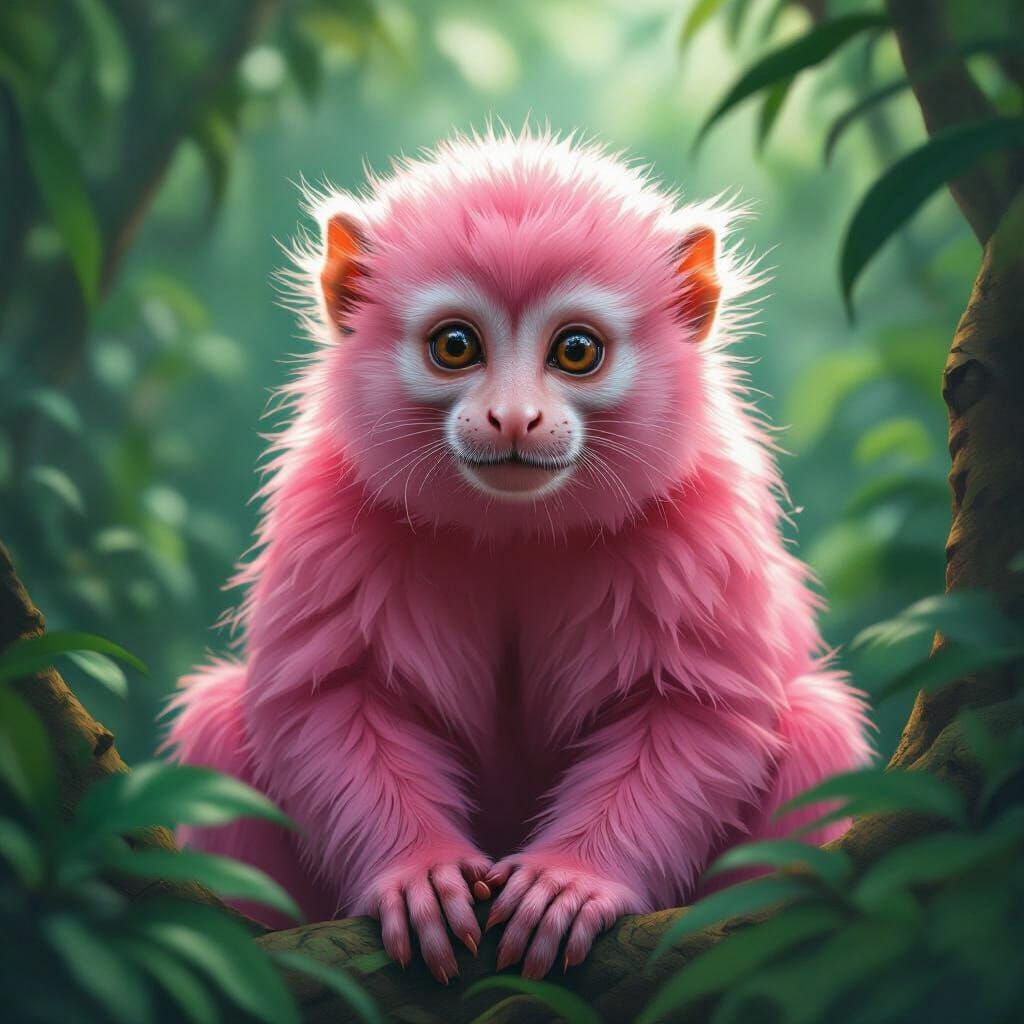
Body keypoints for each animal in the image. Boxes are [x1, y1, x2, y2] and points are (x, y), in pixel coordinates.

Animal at [167, 126, 870, 983]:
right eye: (455, 346)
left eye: (576, 351)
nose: (512, 418)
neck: (514, 530)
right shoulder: (330, 510)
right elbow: (326, 697)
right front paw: (419, 869)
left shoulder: (700, 525)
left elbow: (698, 711)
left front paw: (575, 879)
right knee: (216, 721)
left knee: (816, 726)